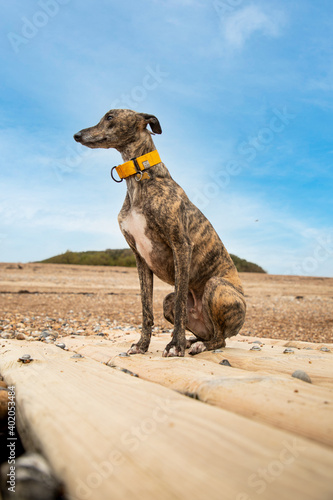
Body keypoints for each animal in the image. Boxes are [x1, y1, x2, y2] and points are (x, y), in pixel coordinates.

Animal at [73, 111, 244, 358]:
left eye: (110, 117)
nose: (77, 135)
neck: (140, 177)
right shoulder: (140, 257)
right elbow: (146, 310)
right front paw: (142, 345)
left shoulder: (180, 245)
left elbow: (181, 305)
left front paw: (175, 345)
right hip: (168, 301)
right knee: (207, 332)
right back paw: (193, 341)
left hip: (217, 287)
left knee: (220, 339)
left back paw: (198, 345)